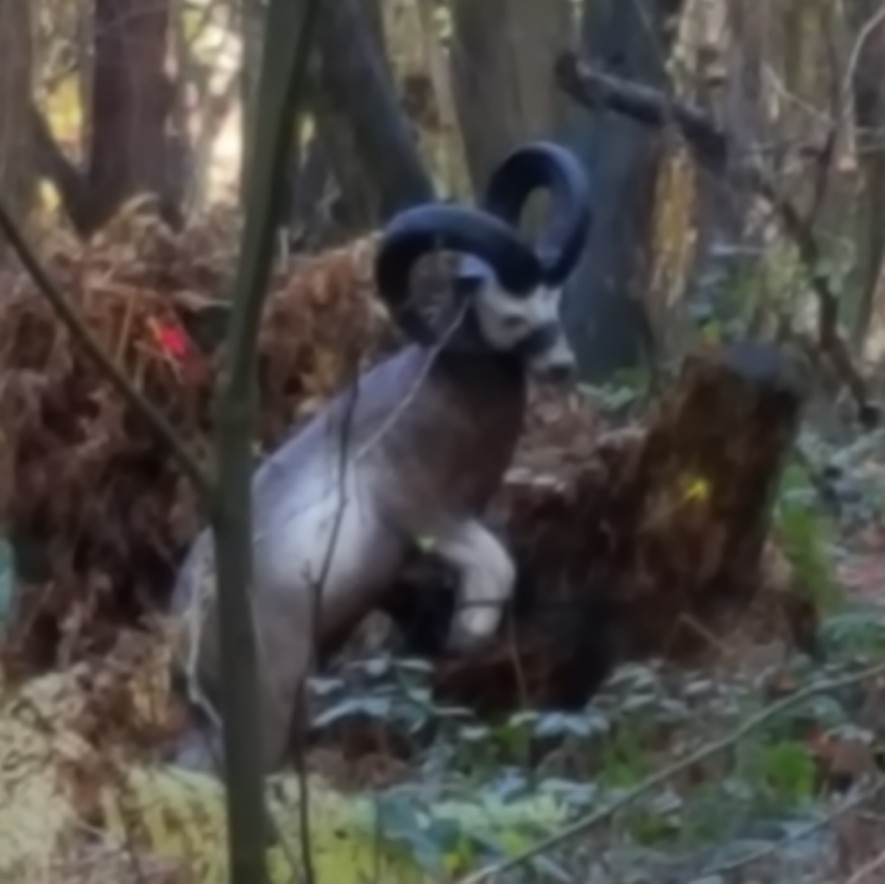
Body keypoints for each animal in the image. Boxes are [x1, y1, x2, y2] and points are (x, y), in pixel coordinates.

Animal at [169, 141, 591, 773]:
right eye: (512, 315)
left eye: (554, 301)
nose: (562, 366)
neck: (437, 401)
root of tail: (182, 631)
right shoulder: (427, 518)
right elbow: (496, 563)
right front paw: (469, 634)